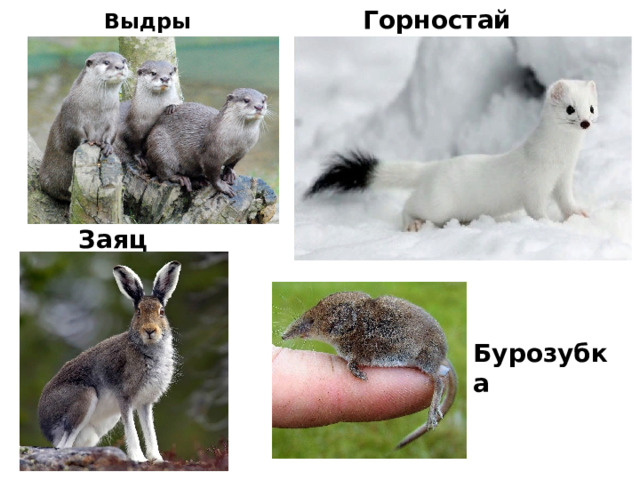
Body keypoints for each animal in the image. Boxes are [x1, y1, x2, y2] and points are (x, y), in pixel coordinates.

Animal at [37, 260, 181, 462]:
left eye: (161, 312)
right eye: (138, 312)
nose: (150, 330)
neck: (146, 348)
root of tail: (45, 426)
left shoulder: (145, 403)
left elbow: (150, 431)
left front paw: (157, 459)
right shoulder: (125, 397)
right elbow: (132, 430)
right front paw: (138, 458)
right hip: (84, 399)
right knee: (63, 446)